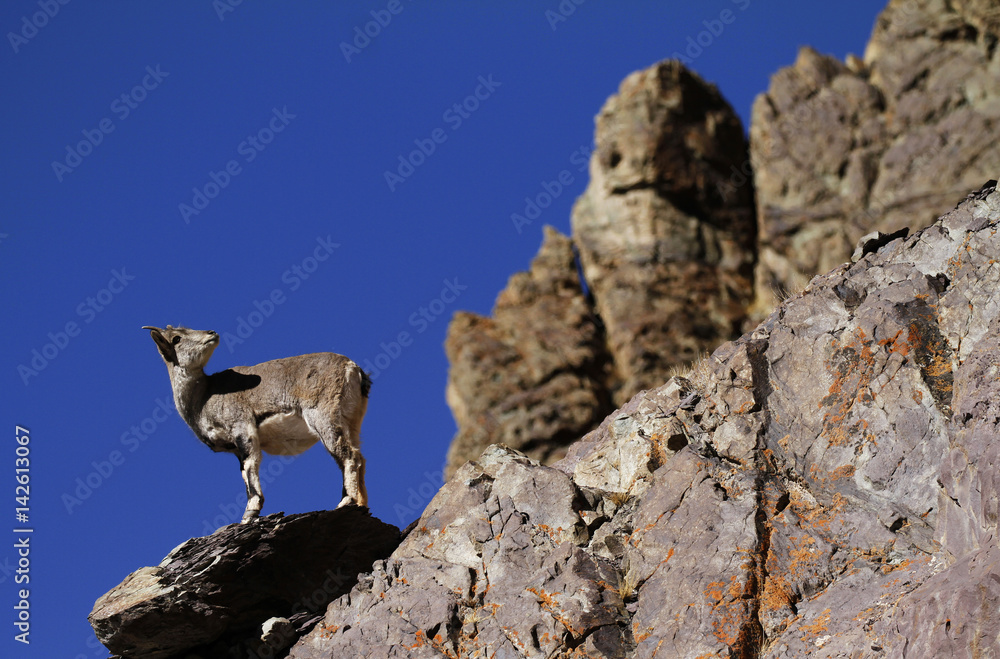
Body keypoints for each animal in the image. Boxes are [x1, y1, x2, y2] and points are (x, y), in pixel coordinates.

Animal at [140, 325, 371, 523]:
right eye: (177, 338)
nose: (211, 333)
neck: (204, 397)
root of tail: (352, 368)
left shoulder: (243, 428)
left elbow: (251, 467)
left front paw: (249, 514)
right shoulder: (235, 448)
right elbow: (244, 472)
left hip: (323, 417)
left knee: (349, 456)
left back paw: (346, 501)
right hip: (351, 422)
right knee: (359, 457)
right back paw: (360, 504)